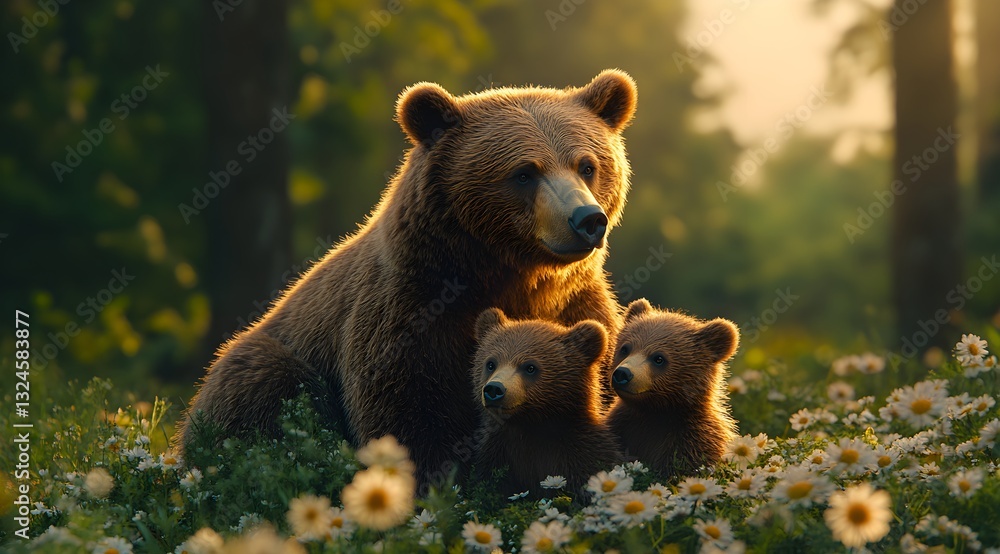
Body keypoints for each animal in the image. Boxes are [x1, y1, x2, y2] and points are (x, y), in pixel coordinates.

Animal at [469, 308, 624, 497]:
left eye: (530, 367)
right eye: (491, 363)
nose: (494, 389)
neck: (534, 425)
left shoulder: (582, 452)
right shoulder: (497, 454)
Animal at [606, 298, 739, 476]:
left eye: (659, 358)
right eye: (625, 348)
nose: (622, 374)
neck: (657, 412)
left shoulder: (692, 440)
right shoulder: (623, 426)